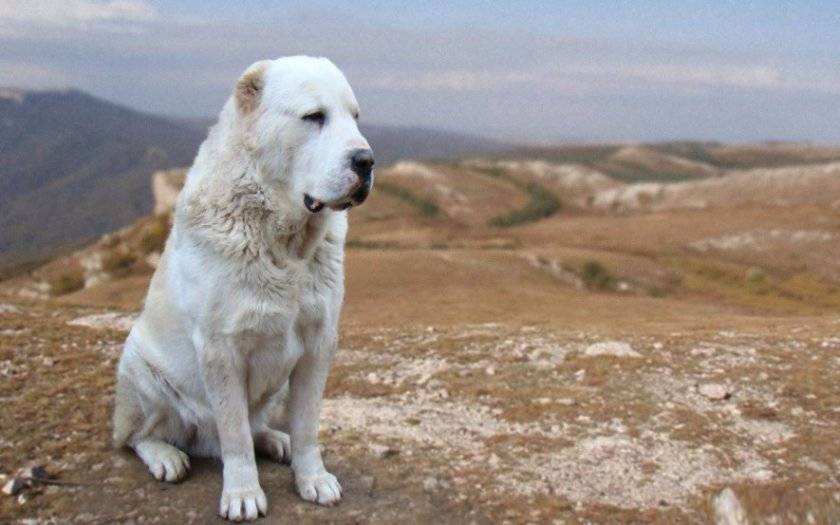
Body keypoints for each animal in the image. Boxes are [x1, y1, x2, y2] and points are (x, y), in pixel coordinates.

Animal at [112, 56, 374, 521]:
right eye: (314, 117)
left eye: (354, 117)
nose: (367, 160)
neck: (285, 244)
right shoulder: (221, 350)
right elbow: (234, 436)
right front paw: (242, 494)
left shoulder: (319, 344)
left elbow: (306, 424)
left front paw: (312, 477)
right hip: (140, 368)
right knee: (138, 436)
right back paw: (166, 456)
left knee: (256, 427)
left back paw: (274, 440)